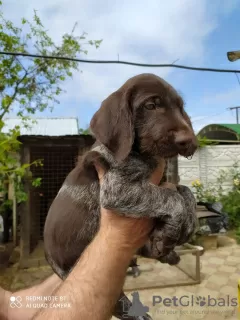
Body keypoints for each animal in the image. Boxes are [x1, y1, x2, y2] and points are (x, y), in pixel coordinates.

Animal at [43, 73, 197, 320]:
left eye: (180, 108)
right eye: (151, 105)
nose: (189, 140)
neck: (142, 155)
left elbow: (184, 191)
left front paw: (186, 221)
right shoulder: (118, 190)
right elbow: (171, 197)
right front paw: (173, 228)